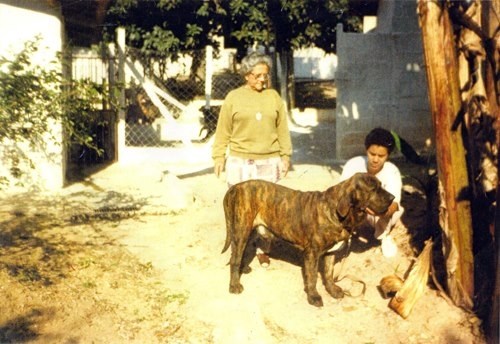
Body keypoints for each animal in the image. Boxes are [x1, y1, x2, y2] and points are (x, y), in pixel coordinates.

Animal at [222, 172, 394, 306]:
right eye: (373, 189)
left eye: (381, 185)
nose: (393, 197)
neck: (337, 212)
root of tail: (235, 187)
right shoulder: (312, 254)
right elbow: (312, 278)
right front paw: (314, 297)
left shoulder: (330, 253)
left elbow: (329, 274)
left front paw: (332, 290)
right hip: (241, 230)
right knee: (235, 258)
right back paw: (234, 285)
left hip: (248, 231)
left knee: (239, 253)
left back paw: (243, 268)